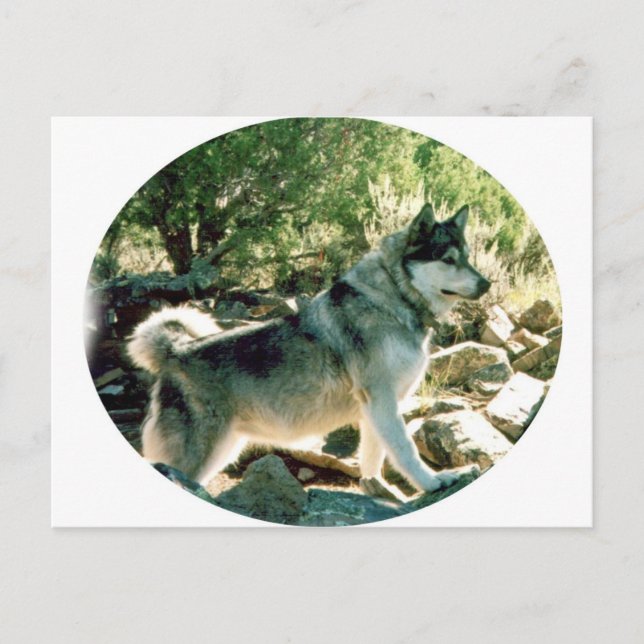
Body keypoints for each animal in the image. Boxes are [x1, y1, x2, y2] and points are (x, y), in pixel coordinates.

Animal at [128, 204, 491, 498]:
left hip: (222, 450)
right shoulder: (381, 399)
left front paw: (380, 491)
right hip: (200, 454)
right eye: (448, 260)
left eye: (468, 256)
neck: (394, 298)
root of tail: (174, 351)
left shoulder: (376, 410)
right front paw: (433, 482)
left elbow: (374, 458)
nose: (486, 284)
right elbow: (405, 450)